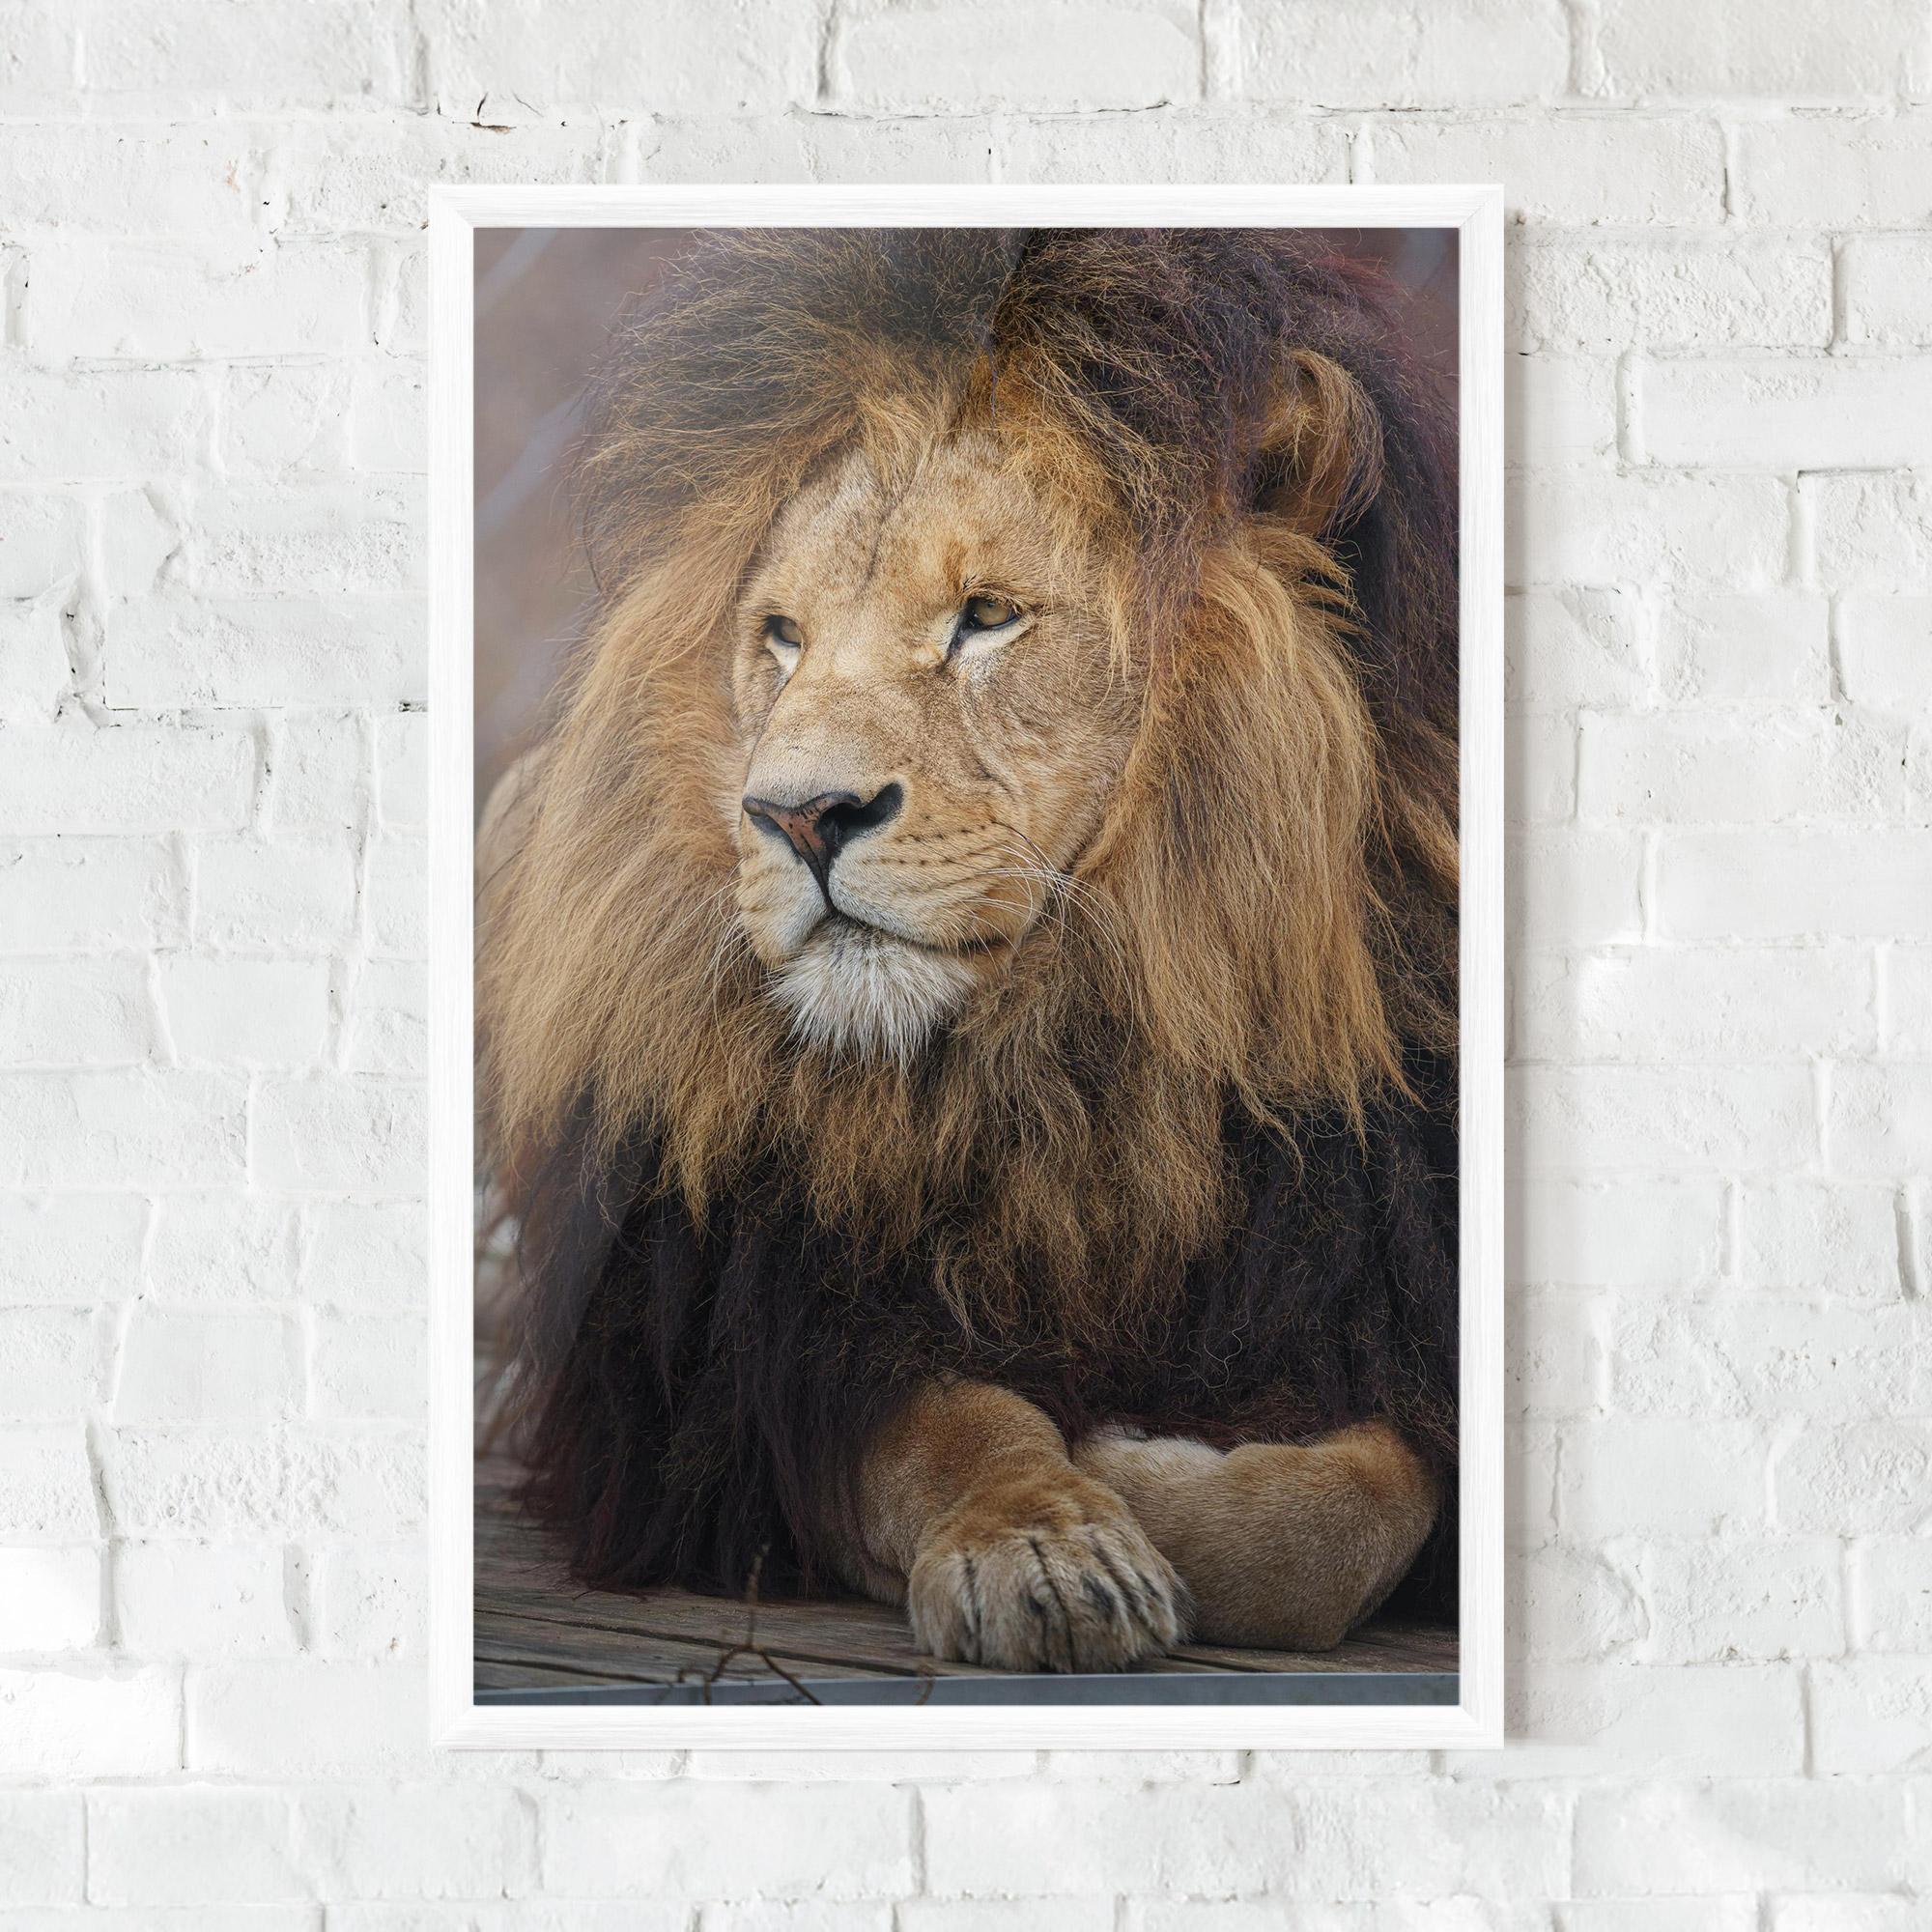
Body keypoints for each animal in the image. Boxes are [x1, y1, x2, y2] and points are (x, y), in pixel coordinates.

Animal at [479, 228, 1460, 1673]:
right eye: (781, 638)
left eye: (987, 616)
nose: (795, 815)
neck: (1075, 1058)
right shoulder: (746, 1361)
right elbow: (948, 1430)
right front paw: (1052, 1542)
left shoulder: (1371, 1293)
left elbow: (1348, 1519)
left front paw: (1147, 1460)